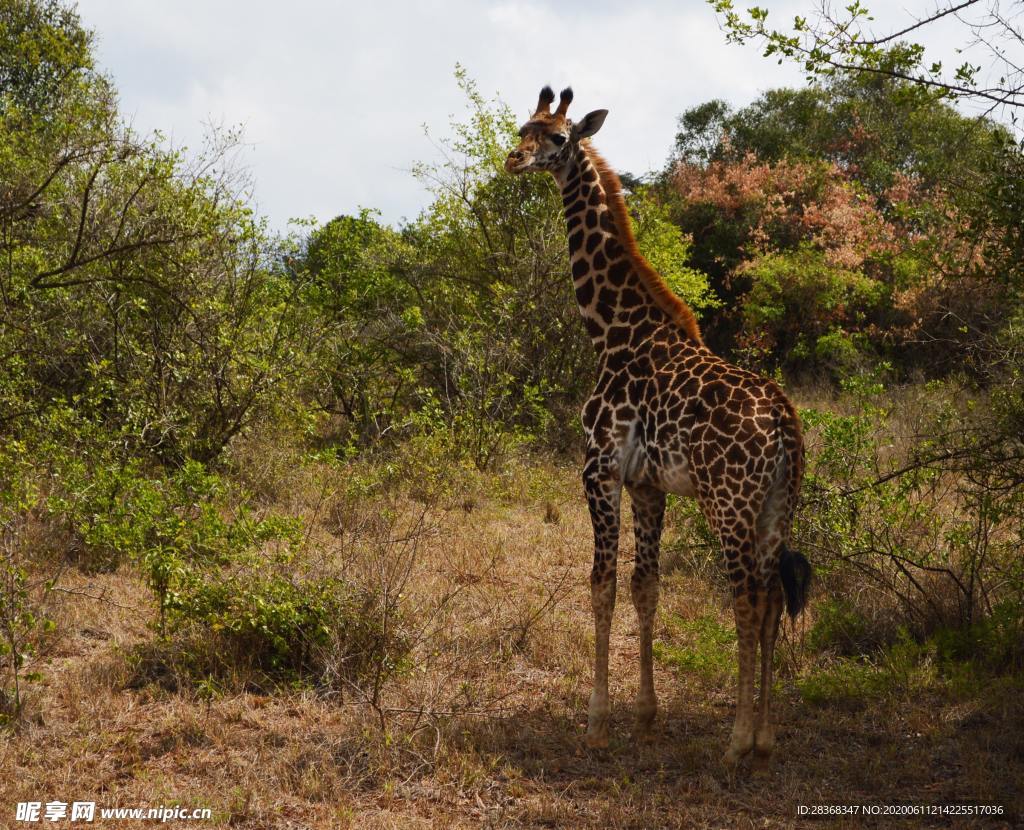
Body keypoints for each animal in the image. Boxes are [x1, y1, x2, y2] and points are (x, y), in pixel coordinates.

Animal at [503, 87, 806, 761]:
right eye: (521, 129)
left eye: (558, 138)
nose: (513, 160)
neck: (611, 332)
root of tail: (785, 423)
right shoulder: (648, 484)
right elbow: (647, 587)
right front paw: (644, 716)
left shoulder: (599, 467)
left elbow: (601, 584)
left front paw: (597, 722)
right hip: (777, 503)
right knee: (774, 595)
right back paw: (768, 735)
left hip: (729, 502)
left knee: (747, 598)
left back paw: (737, 741)